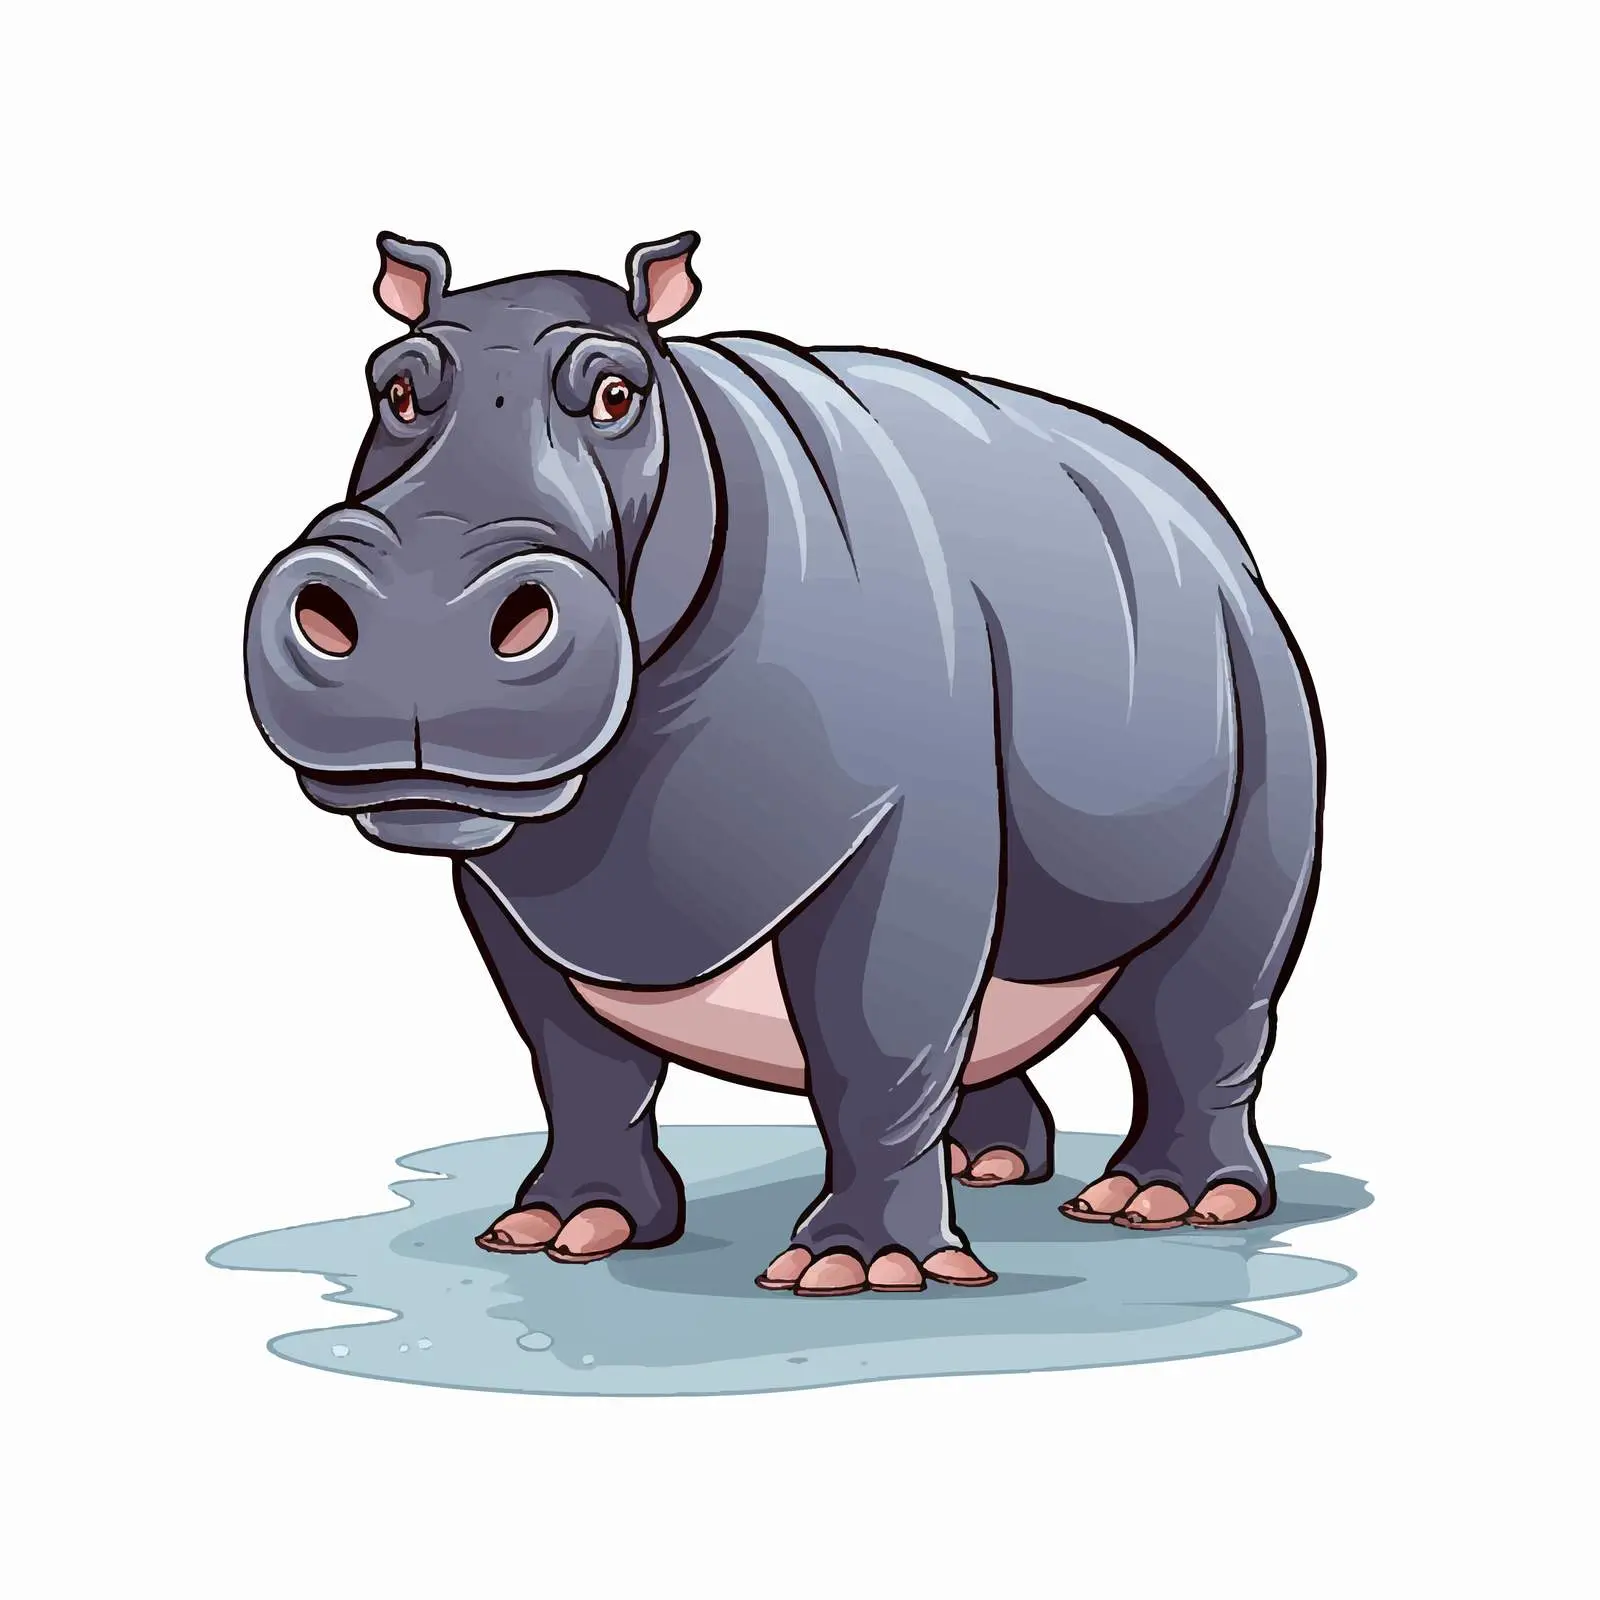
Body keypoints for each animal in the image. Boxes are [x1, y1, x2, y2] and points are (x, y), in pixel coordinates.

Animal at [243, 231, 1324, 1296]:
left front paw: (859, 1269)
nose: (419, 614)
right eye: (394, 387)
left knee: (1203, 995)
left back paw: (1165, 1203)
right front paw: (562, 1227)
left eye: (616, 393)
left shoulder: (899, 823)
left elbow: (876, 1037)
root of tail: (1221, 535)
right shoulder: (519, 887)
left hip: (1266, 689)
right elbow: (576, 1059)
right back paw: (991, 1165)